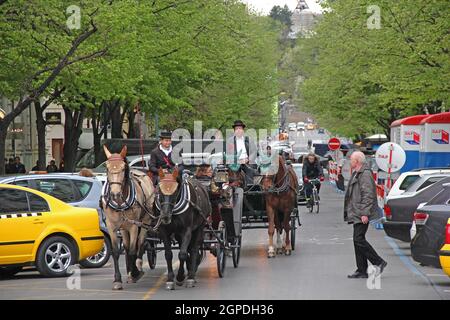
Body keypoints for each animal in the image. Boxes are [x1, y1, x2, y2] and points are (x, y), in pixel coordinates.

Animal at [101, 145, 156, 290]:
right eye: (107, 168)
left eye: (123, 168)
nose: (115, 194)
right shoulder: (112, 227)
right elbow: (116, 252)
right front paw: (117, 280)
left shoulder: (134, 226)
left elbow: (132, 250)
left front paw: (135, 273)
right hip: (123, 228)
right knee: (125, 246)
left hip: (144, 222)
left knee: (140, 243)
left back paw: (137, 266)